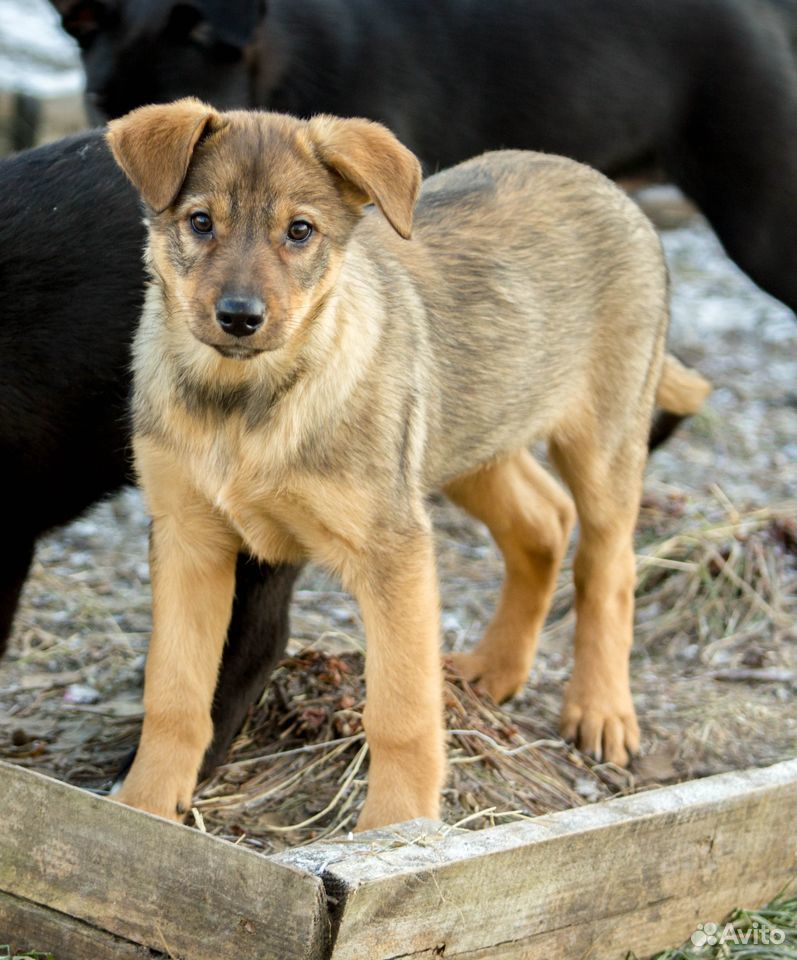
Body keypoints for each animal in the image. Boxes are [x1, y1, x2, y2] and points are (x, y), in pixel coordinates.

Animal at [105, 99, 708, 832]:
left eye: (299, 231)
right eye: (200, 222)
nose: (239, 317)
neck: (242, 406)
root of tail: (606, 186)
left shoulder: (393, 549)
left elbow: (400, 712)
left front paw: (394, 832)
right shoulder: (188, 536)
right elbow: (174, 692)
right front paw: (143, 808)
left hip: (602, 441)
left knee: (607, 565)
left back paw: (600, 711)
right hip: (470, 439)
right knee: (541, 522)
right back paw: (495, 670)